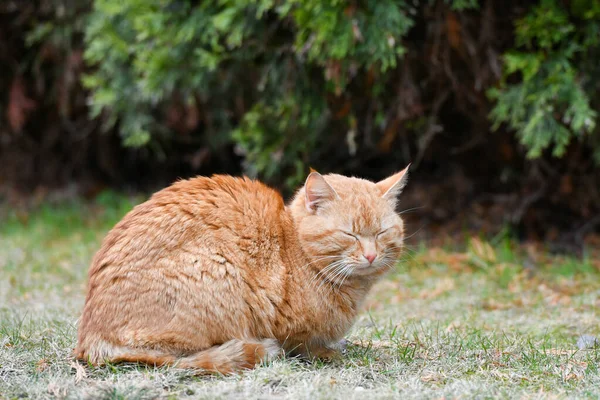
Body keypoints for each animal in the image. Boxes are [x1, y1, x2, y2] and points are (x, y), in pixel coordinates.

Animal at [75, 165, 410, 372]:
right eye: (350, 234)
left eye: (381, 233)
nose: (370, 255)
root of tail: (90, 338)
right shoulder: (283, 321)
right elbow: (300, 343)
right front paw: (323, 352)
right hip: (215, 268)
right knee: (172, 356)